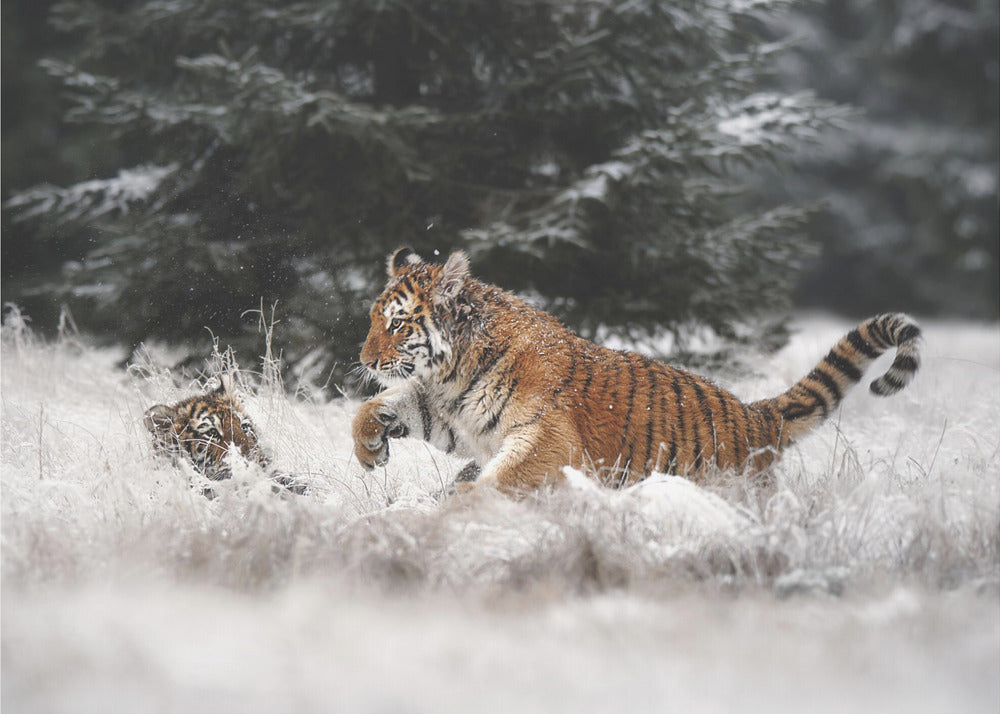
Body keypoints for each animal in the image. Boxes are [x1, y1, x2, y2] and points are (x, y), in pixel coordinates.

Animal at [352, 248, 920, 498]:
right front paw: (371, 449)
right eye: (374, 319)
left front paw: (459, 503)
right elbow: (377, 406)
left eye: (397, 324)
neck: (454, 371)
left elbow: (504, 477)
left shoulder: (546, 437)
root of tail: (759, 415)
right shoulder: (448, 411)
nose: (366, 360)